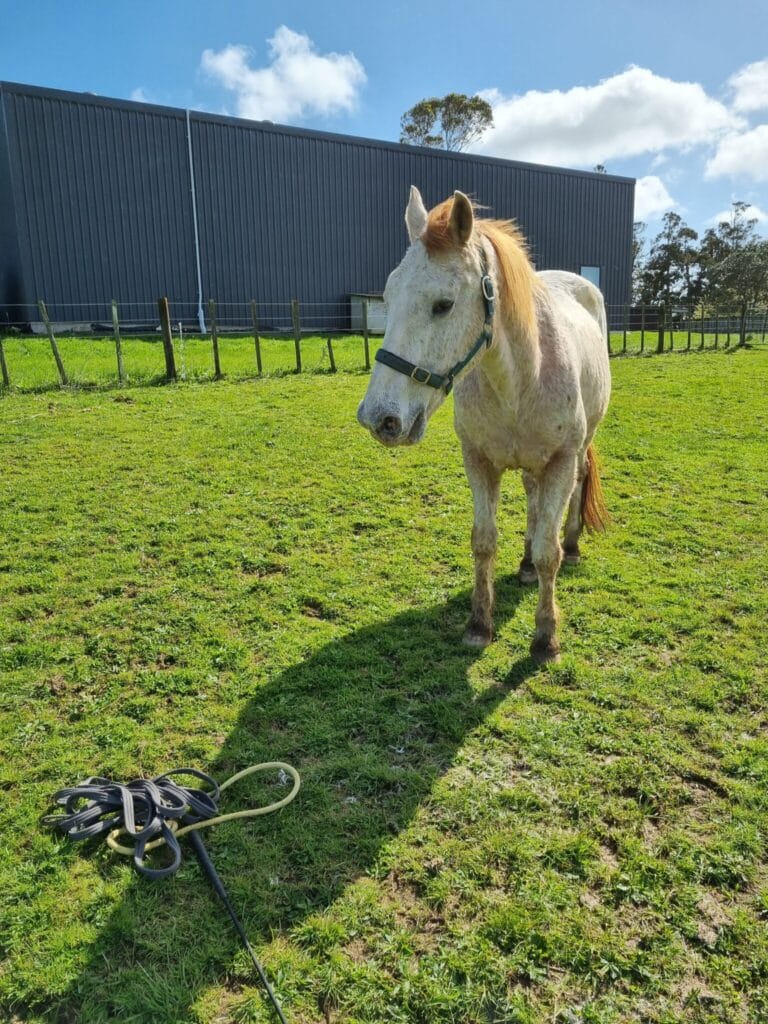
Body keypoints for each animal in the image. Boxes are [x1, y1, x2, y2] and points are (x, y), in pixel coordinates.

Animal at [357, 187, 611, 662]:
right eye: (389, 296)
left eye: (443, 305)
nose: (378, 417)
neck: (520, 379)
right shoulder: (477, 461)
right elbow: (484, 541)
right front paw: (479, 624)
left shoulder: (560, 462)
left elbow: (548, 551)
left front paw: (546, 638)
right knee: (532, 502)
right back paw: (525, 566)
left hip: (578, 450)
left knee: (573, 495)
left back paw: (571, 545)